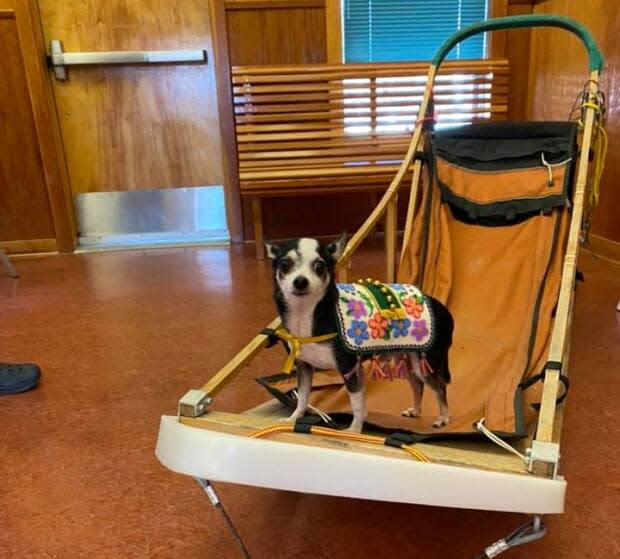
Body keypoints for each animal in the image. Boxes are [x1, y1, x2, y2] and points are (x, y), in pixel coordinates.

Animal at [264, 233, 452, 434]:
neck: (308, 313)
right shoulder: (304, 367)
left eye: (319, 266)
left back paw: (443, 418)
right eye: (285, 264)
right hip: (410, 362)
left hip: (426, 363)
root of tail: (443, 309)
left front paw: (354, 430)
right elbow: (303, 397)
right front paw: (293, 418)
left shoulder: (349, 368)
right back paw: (415, 410)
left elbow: (357, 404)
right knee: (418, 385)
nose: (300, 281)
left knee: (440, 388)